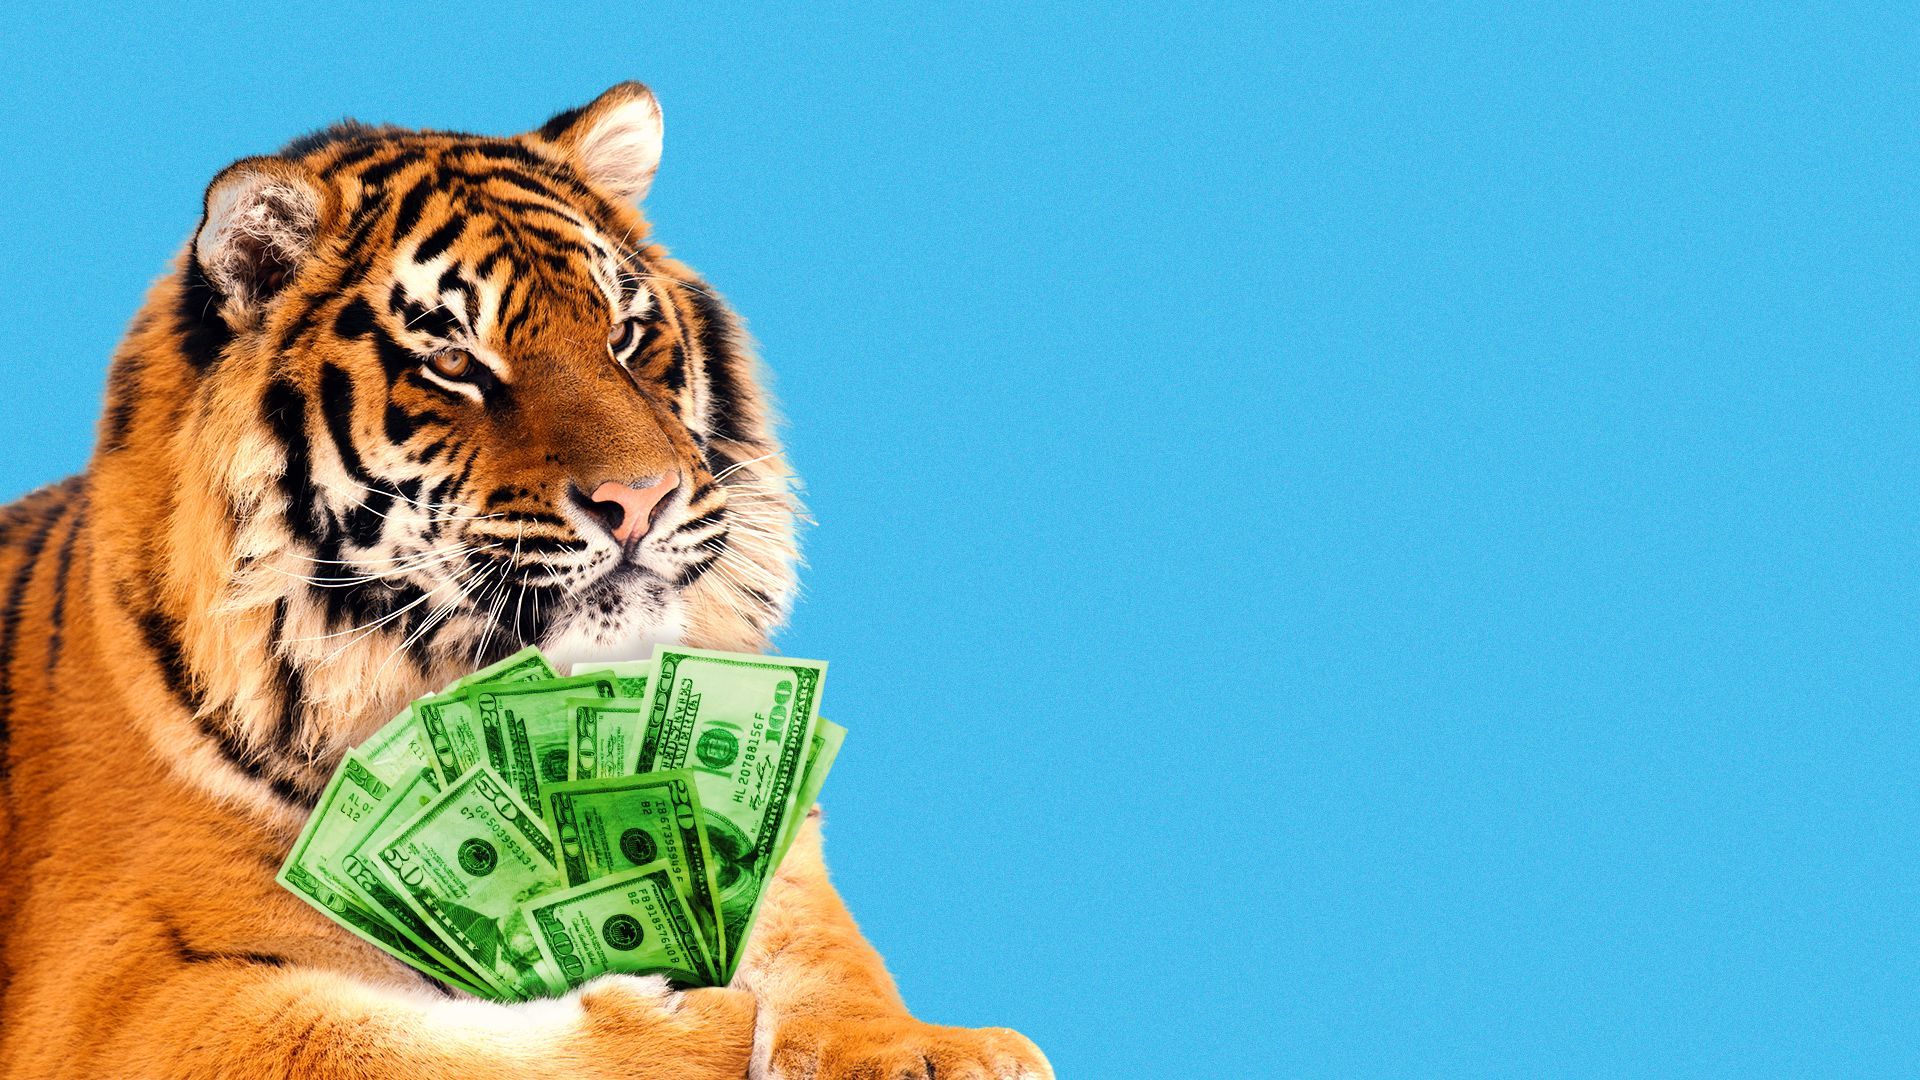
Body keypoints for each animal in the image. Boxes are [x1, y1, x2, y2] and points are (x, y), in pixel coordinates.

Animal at [0, 82, 1050, 1080]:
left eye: (624, 333)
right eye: (452, 359)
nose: (642, 499)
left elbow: (824, 949)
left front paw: (918, 1051)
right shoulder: (123, 989)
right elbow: (359, 1041)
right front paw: (682, 1018)